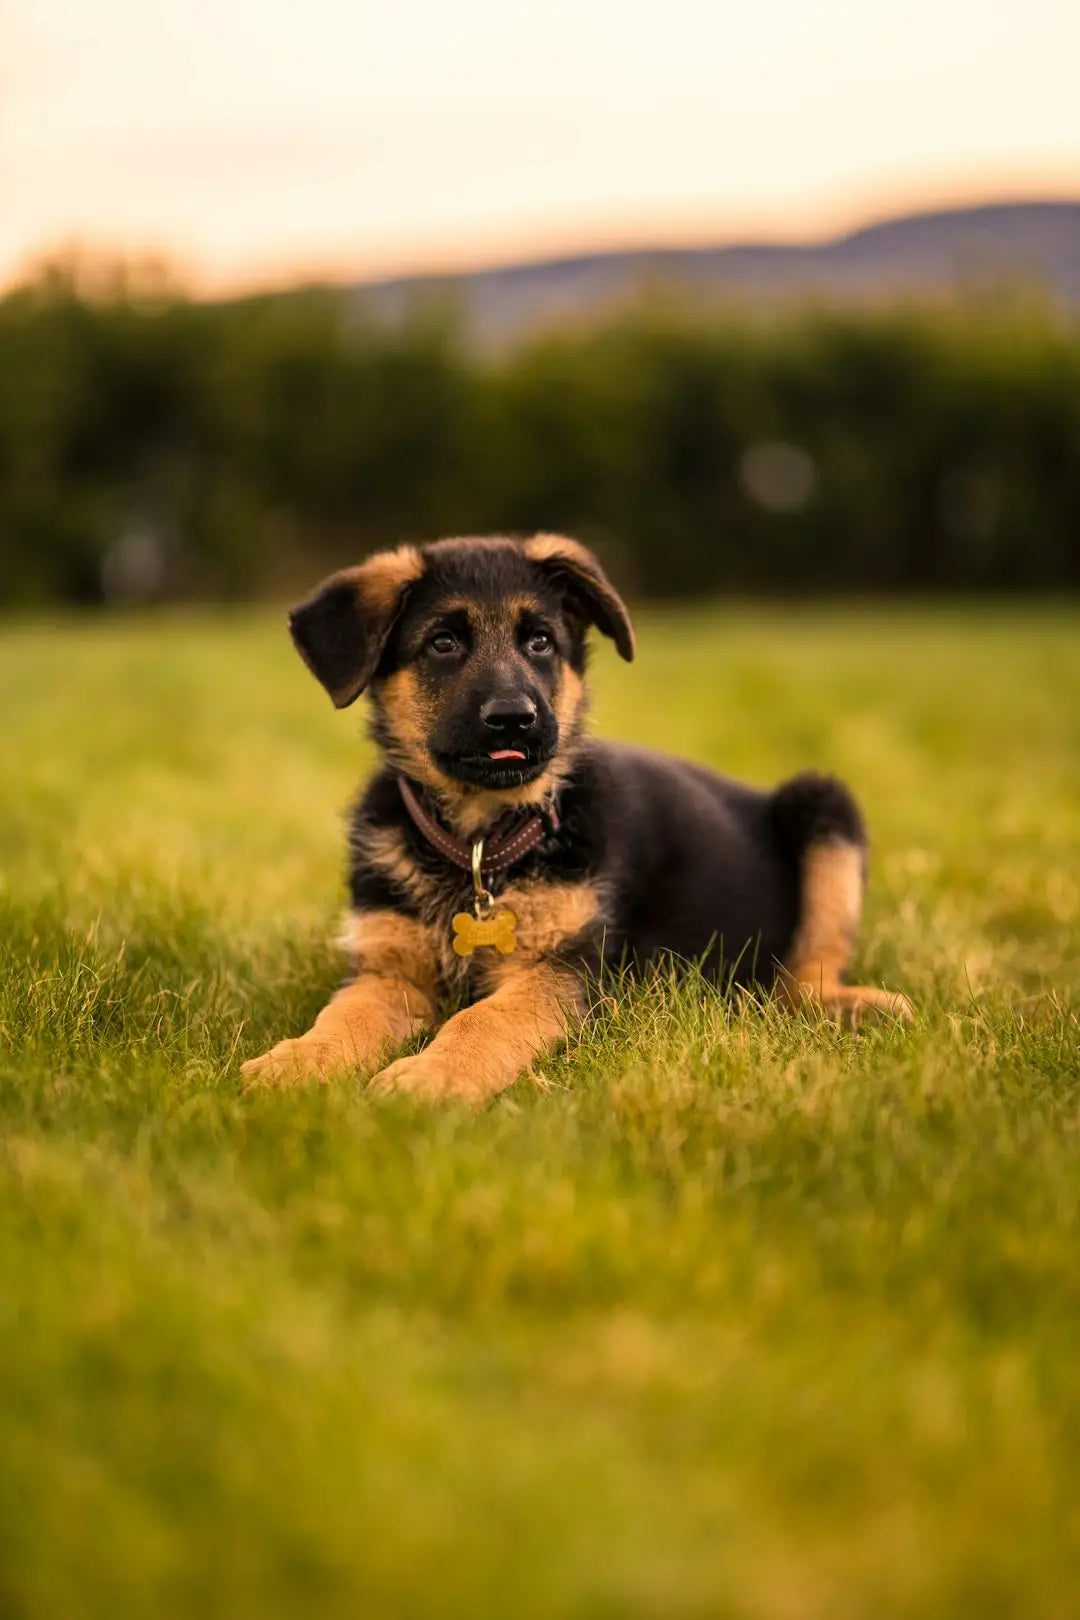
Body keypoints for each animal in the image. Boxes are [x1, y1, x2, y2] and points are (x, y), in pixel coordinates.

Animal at [242, 531, 913, 1101]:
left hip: (823, 802)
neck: (479, 843)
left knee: (807, 977)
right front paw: (296, 1061)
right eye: (443, 643)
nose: (514, 719)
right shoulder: (388, 971)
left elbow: (482, 1020)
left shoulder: (563, 970)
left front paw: (430, 1077)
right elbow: (343, 1014)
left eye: (540, 642)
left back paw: (862, 1007)